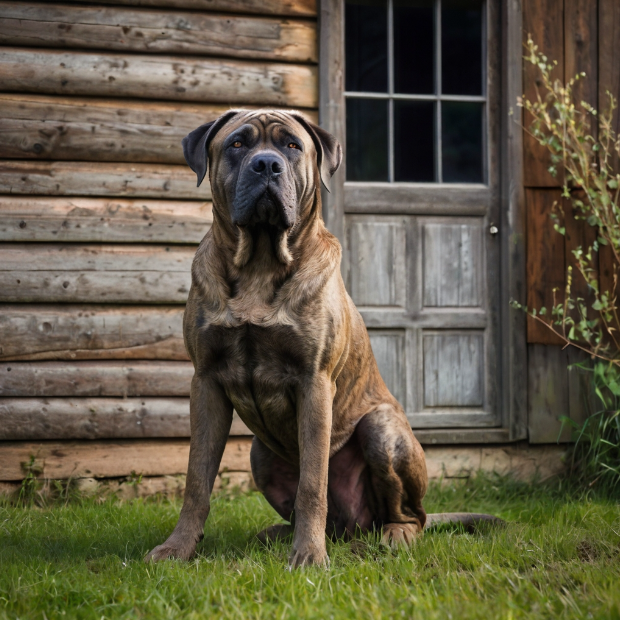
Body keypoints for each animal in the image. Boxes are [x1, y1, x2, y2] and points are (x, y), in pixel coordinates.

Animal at [145, 110, 498, 568]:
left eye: (292, 146)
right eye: (238, 144)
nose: (267, 165)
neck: (260, 263)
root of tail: (356, 527)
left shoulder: (314, 381)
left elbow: (313, 482)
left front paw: (309, 556)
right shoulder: (205, 381)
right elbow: (196, 480)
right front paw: (178, 547)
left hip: (383, 431)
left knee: (410, 515)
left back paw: (392, 535)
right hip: (261, 454)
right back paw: (280, 534)